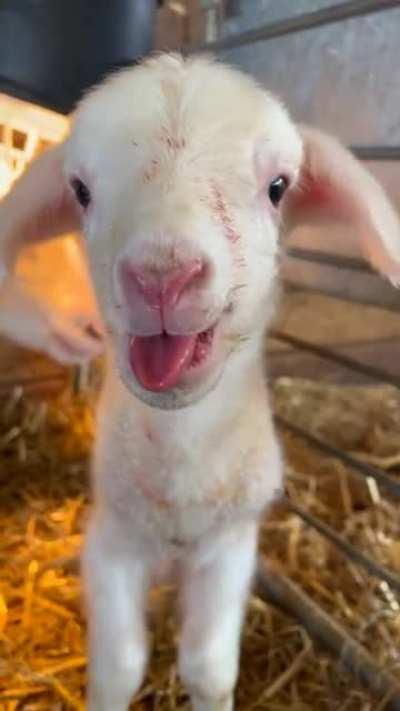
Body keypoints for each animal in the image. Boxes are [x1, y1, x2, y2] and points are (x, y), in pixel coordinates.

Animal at [1, 53, 400, 711]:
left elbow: (208, 669)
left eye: (278, 187)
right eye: (80, 191)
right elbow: (117, 668)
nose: (162, 276)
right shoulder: (111, 542)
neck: (180, 476)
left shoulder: (231, 548)